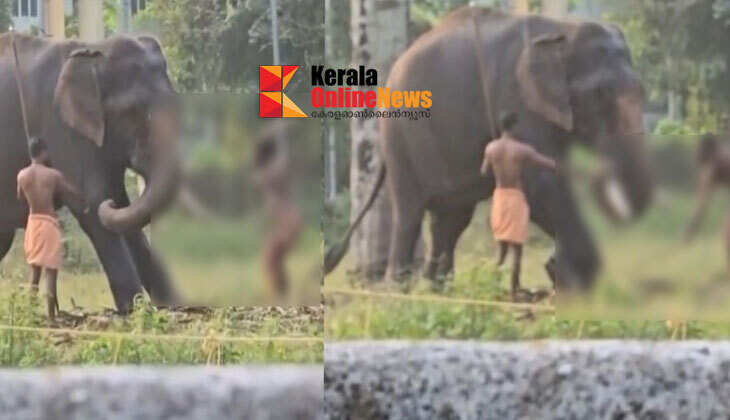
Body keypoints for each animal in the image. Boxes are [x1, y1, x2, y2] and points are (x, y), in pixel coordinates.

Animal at [0, 33, 182, 313]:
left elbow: (121, 208)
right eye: (134, 111)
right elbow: (92, 204)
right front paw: (133, 310)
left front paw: (174, 307)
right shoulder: (62, 127)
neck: (91, 51)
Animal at [326, 7, 653, 291]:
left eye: (642, 92)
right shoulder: (518, 100)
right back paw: (398, 294)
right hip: (402, 137)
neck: (561, 30)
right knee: (410, 214)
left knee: (451, 219)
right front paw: (569, 275)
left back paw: (437, 290)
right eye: (600, 95)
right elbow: (541, 183)